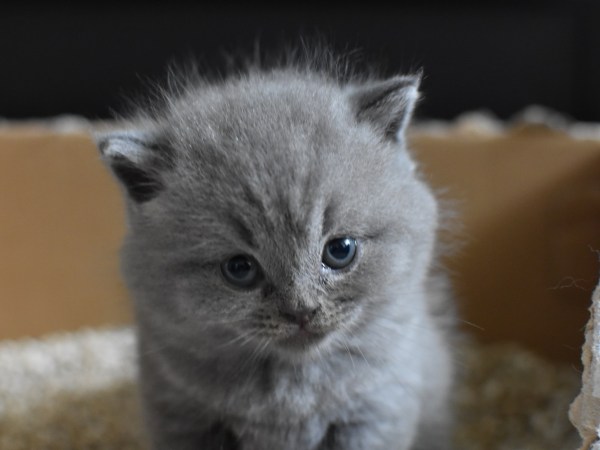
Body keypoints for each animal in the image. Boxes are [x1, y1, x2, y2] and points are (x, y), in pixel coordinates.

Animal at [97, 56, 454, 450]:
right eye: (239, 268)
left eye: (340, 250)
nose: (302, 310)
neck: (290, 391)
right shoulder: (181, 414)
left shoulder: (376, 409)